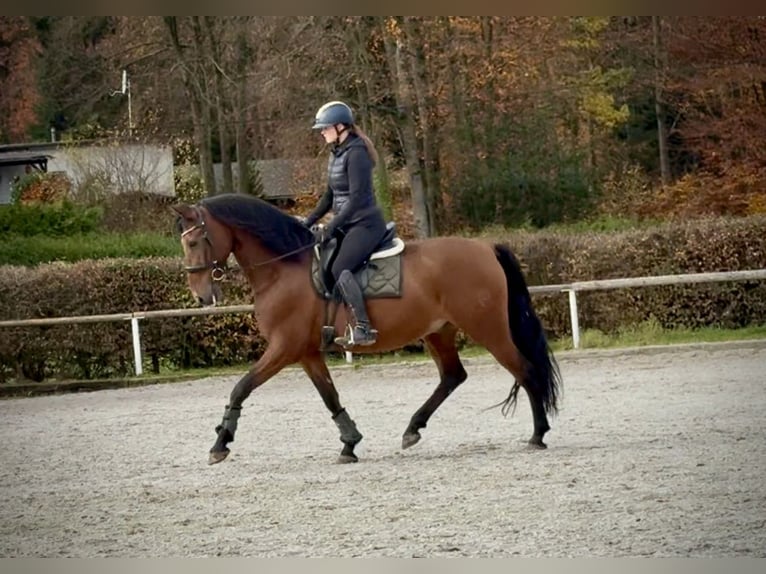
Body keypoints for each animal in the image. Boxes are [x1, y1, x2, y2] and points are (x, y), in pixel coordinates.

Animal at [172, 193, 562, 465]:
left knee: (525, 369)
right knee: (453, 376)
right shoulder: (306, 353)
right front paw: (350, 442)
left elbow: (241, 388)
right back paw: (412, 429)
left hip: (487, 328)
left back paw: (538, 434)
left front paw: (220, 443)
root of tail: (485, 248)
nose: (201, 296)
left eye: (193, 242)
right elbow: (329, 396)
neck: (284, 268)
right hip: (439, 331)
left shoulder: (284, 348)